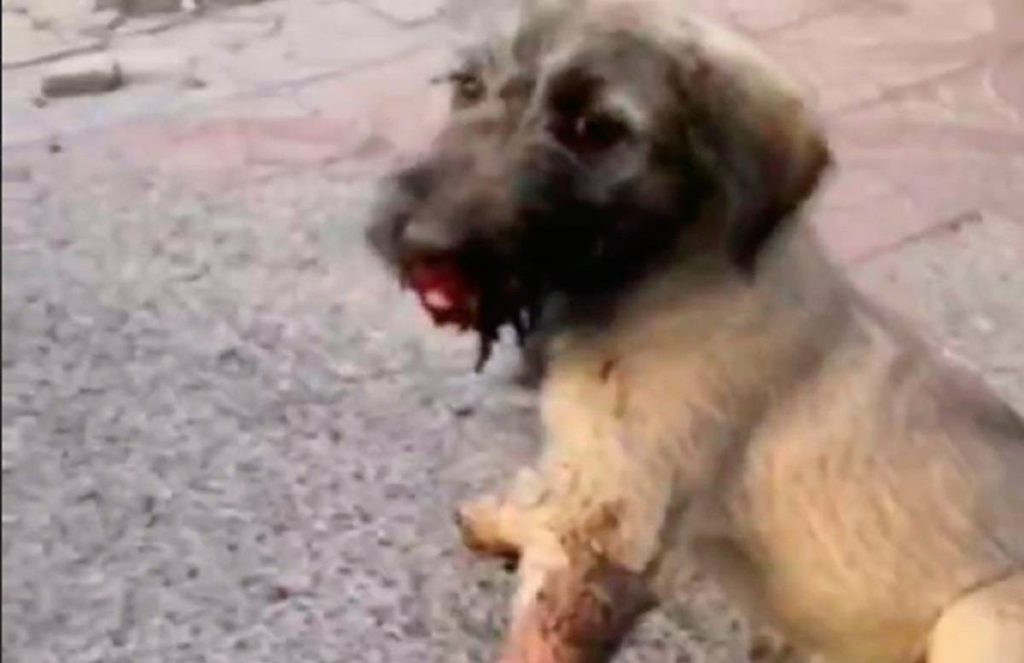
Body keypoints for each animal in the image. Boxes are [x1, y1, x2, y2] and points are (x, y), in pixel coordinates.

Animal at [367, 1, 1024, 661]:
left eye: (595, 129)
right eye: (468, 87)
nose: (422, 244)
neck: (656, 272)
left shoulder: (613, 520)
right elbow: (547, 499)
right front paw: (510, 518)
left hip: (978, 616)